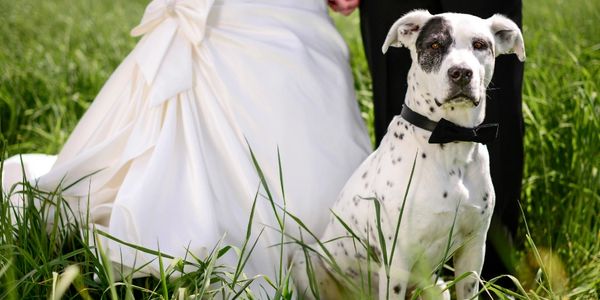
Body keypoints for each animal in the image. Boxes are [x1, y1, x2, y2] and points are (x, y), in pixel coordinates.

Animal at [292, 9, 524, 300]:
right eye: (434, 45)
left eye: (480, 45)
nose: (461, 73)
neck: (450, 138)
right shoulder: (397, 260)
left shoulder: (473, 250)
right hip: (305, 262)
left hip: (437, 287)